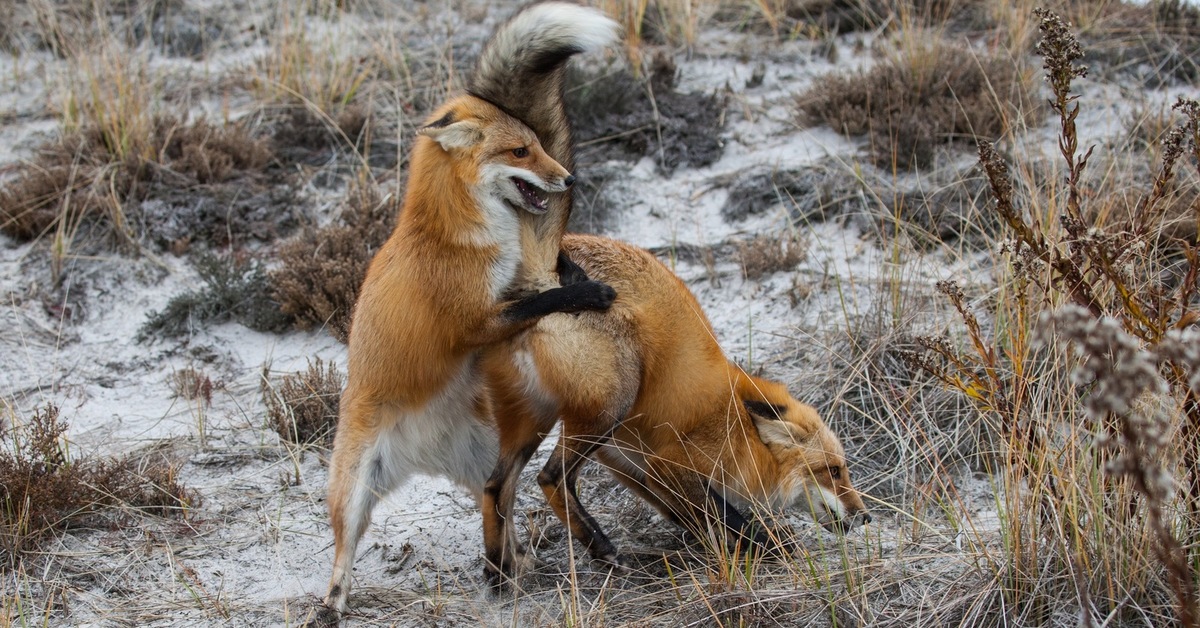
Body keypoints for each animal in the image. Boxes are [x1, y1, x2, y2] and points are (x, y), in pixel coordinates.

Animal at [316, 3, 619, 624]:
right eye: (520, 152)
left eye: (538, 145)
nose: (570, 179)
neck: (460, 237)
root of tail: (420, 451)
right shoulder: (476, 321)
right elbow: (545, 299)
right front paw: (589, 295)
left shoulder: (516, 283)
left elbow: (554, 276)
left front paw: (582, 280)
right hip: (352, 491)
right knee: (344, 551)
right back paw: (333, 602)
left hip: (489, 449)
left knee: (498, 497)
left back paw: (510, 564)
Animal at [477, 235, 873, 585]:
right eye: (834, 471)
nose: (867, 517)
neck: (738, 423)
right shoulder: (671, 462)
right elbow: (727, 514)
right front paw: (768, 547)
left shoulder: (631, 463)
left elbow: (690, 515)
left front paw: (730, 548)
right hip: (612, 402)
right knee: (551, 477)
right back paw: (601, 550)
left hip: (537, 420)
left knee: (497, 485)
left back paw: (501, 570)